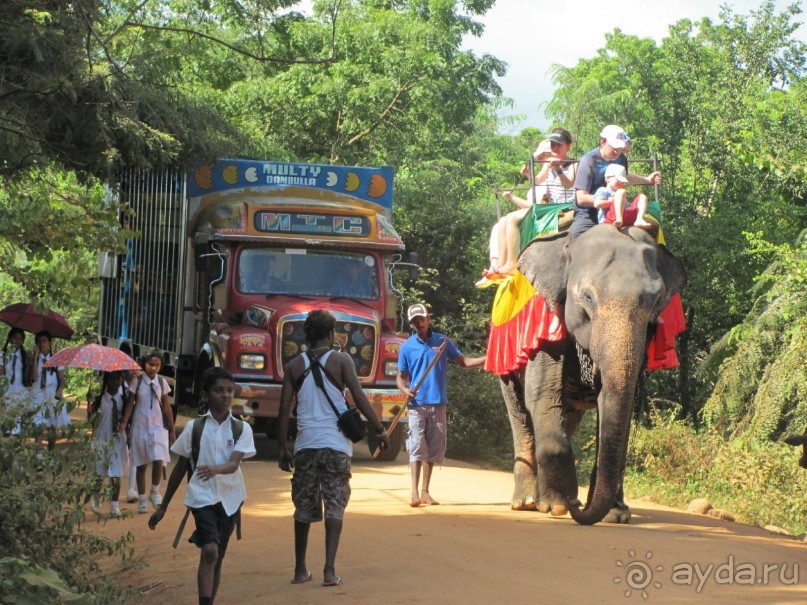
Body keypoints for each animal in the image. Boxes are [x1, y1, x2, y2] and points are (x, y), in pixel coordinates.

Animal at [502, 225, 684, 524]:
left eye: (657, 301)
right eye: (588, 297)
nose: (577, 506)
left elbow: (614, 406)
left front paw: (615, 515)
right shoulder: (548, 327)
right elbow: (542, 396)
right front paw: (560, 505)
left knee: (567, 416)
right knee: (519, 412)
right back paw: (526, 502)